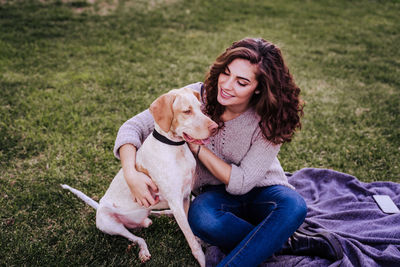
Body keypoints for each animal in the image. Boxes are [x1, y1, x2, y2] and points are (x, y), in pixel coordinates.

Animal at [62, 87, 217, 266]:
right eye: (187, 111)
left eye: (201, 107)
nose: (215, 127)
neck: (174, 148)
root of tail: (99, 206)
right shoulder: (176, 201)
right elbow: (191, 239)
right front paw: (202, 258)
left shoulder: (185, 197)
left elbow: (190, 230)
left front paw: (199, 239)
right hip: (108, 223)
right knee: (137, 239)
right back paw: (143, 250)